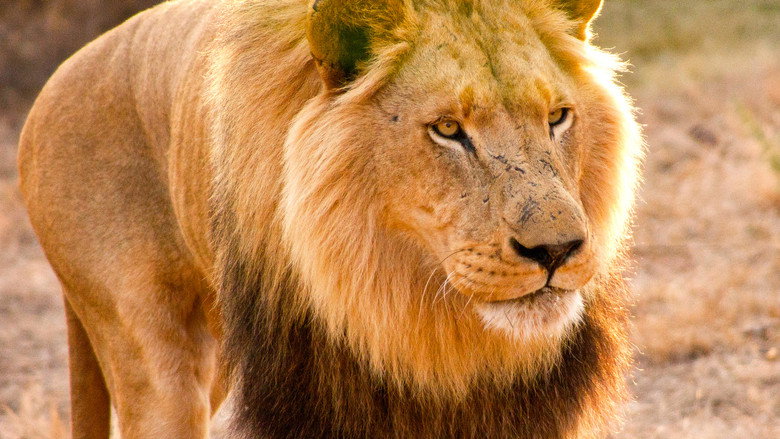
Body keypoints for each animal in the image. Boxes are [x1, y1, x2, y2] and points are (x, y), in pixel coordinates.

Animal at [18, 0, 643, 437]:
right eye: (447, 129)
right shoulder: (316, 393)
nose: (557, 251)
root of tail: (58, 76)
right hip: (150, 355)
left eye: (558, 117)